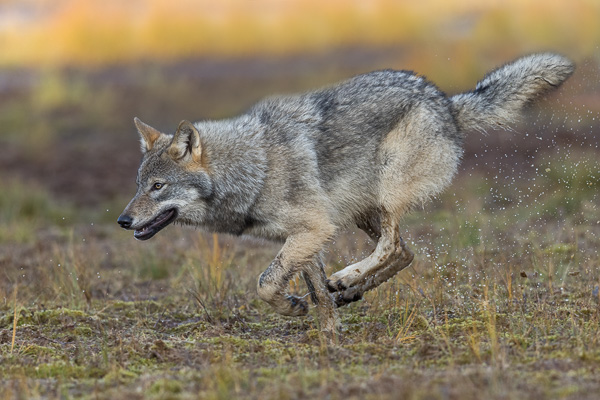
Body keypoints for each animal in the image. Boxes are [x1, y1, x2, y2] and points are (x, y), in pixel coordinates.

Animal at [117, 53, 572, 340]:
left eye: (158, 187)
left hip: (385, 193)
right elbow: (316, 293)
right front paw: (328, 333)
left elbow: (267, 284)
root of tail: (445, 100)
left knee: (392, 246)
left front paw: (296, 309)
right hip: (359, 212)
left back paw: (348, 278)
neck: (253, 166)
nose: (123, 221)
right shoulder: (309, 236)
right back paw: (351, 290)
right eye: (139, 184)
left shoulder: (313, 229)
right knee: (405, 252)